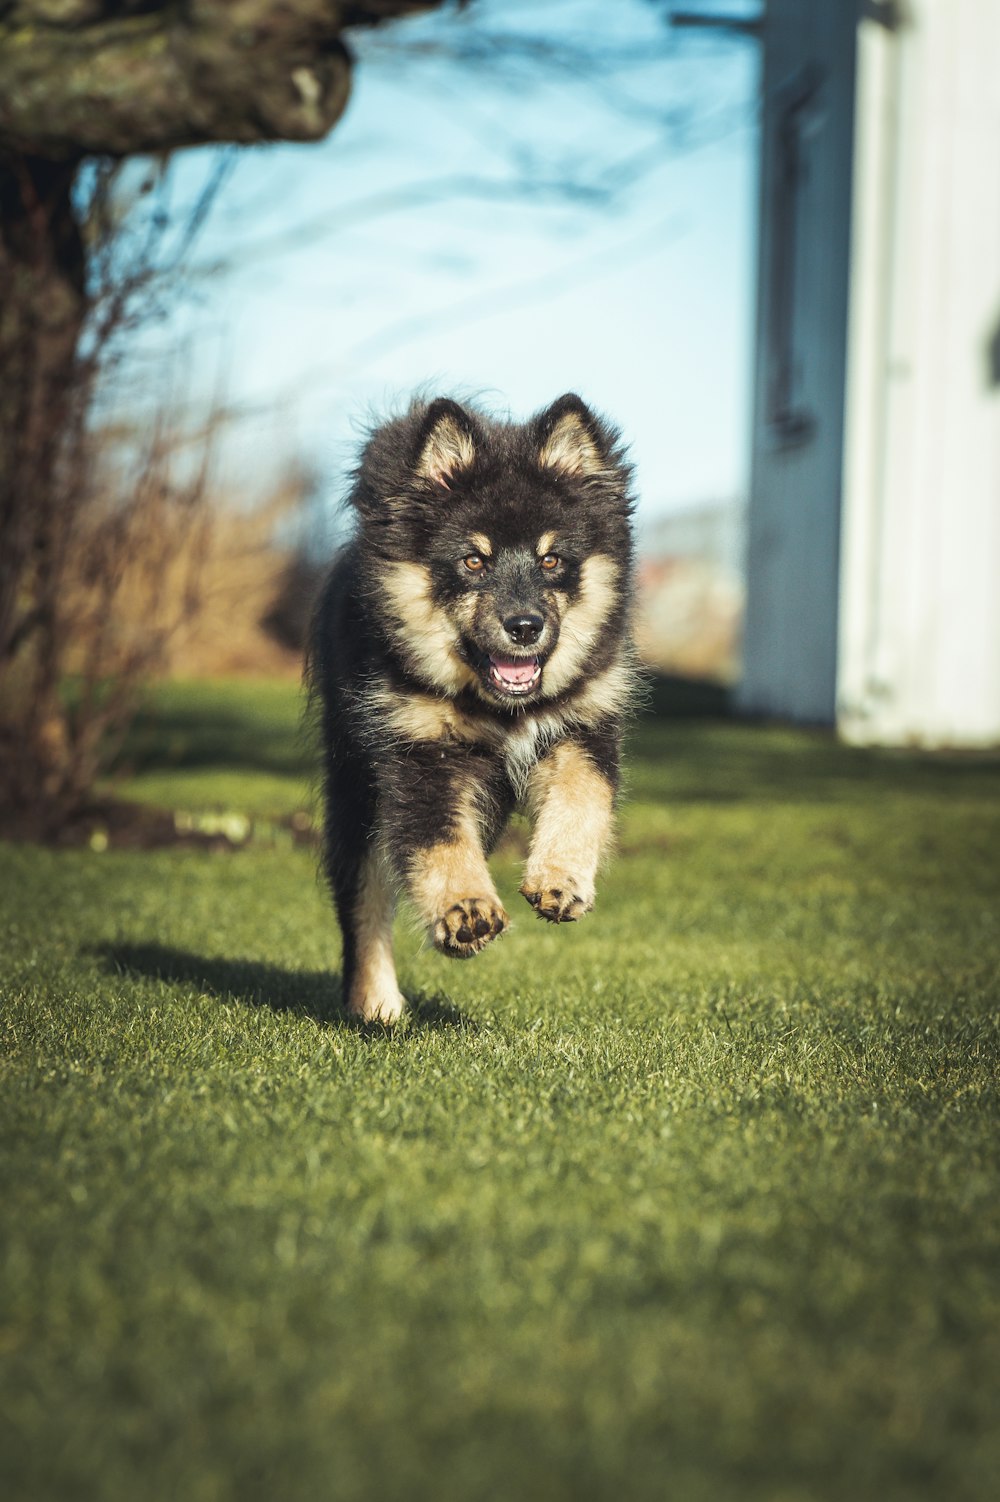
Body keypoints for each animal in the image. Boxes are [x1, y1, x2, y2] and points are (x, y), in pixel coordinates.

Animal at [306, 390, 630, 1021]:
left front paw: (561, 879)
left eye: (551, 560)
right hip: (356, 792)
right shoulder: (418, 752)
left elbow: (581, 800)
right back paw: (376, 1003)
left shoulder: (581, 729)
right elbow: (442, 839)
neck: (501, 710)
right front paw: (466, 909)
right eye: (473, 561)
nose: (525, 627)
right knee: (364, 903)